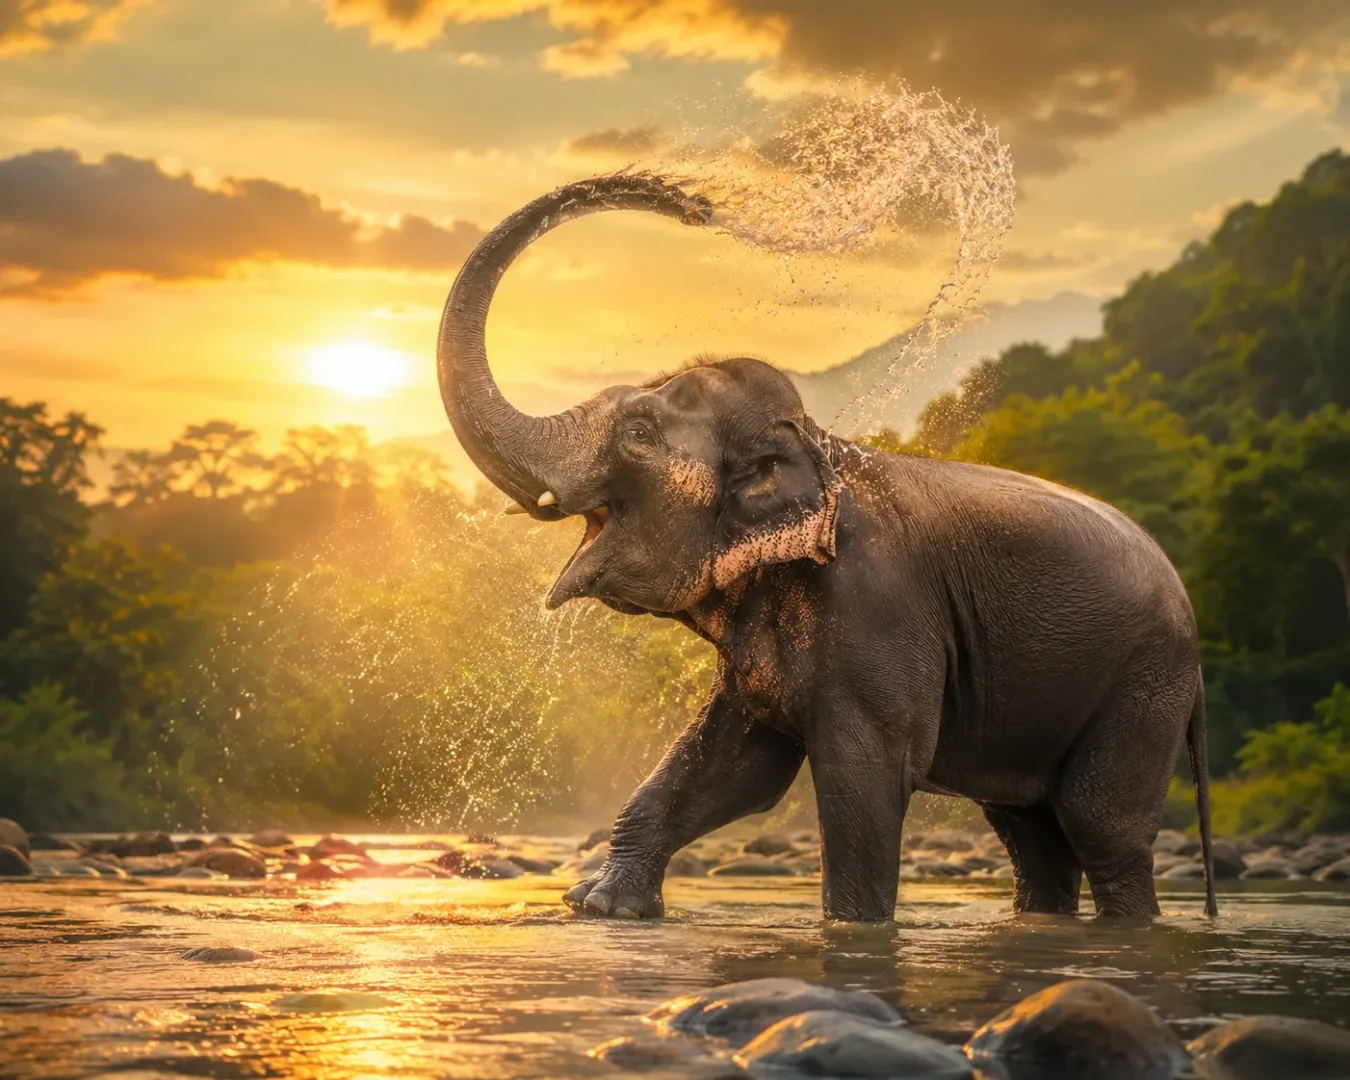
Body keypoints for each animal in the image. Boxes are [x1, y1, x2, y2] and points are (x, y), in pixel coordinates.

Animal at [436, 173, 1217, 922]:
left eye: (638, 433)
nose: (696, 204)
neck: (816, 445)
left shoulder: (878, 609)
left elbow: (863, 775)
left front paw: (854, 928)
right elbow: (732, 767)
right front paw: (602, 908)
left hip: (1144, 681)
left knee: (1099, 825)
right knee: (1030, 830)